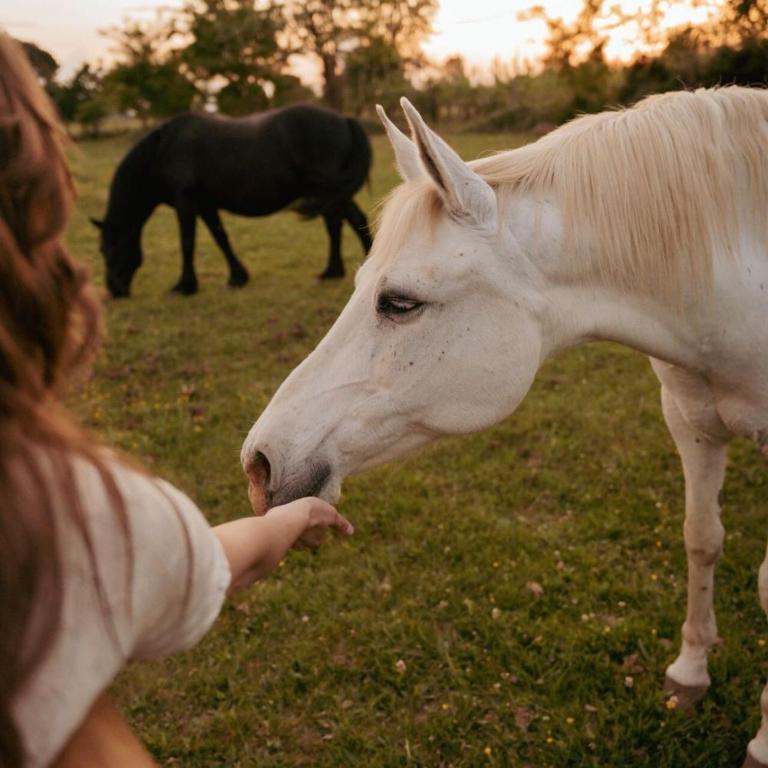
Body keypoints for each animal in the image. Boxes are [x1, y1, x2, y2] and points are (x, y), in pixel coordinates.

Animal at [91, 104, 373, 298]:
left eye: (108, 249)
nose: (114, 291)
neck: (163, 151)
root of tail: (343, 119)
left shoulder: (186, 202)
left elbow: (187, 242)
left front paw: (185, 286)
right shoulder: (205, 204)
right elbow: (220, 237)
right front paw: (237, 277)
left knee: (349, 220)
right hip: (328, 193)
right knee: (340, 223)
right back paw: (336, 271)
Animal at [240, 89, 768, 766]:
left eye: (400, 303)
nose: (260, 464)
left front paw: (762, 740)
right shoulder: (691, 421)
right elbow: (701, 538)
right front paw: (689, 674)